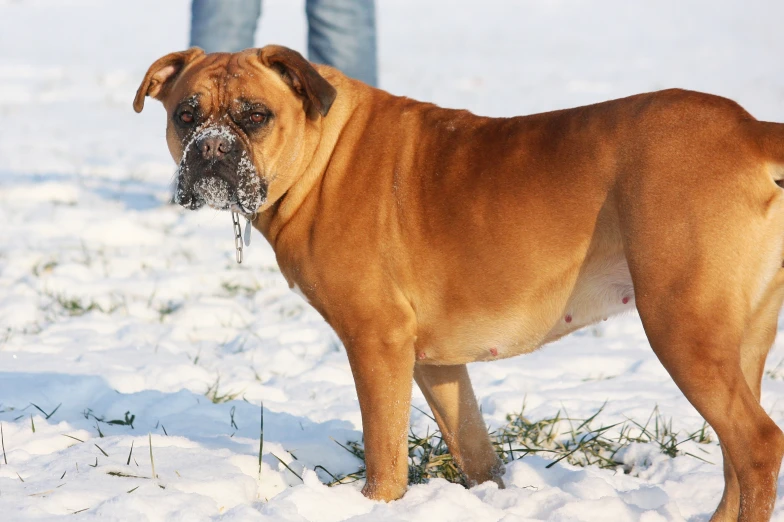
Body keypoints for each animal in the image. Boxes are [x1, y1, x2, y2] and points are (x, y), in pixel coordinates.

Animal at [136, 45, 784, 520]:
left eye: (254, 116)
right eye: (185, 114)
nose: (211, 151)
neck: (323, 155)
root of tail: (750, 128)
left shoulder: (377, 344)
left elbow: (385, 458)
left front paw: (377, 505)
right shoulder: (436, 364)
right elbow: (475, 451)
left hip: (683, 326)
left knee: (755, 446)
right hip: (738, 340)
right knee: (735, 458)